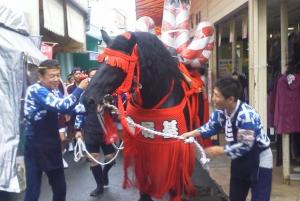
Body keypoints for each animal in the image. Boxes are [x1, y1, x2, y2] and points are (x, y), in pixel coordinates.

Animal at [82, 31, 199, 201]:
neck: (155, 97)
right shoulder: (141, 144)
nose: (87, 99)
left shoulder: (174, 146)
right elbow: (143, 177)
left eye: (118, 66)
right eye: (101, 61)